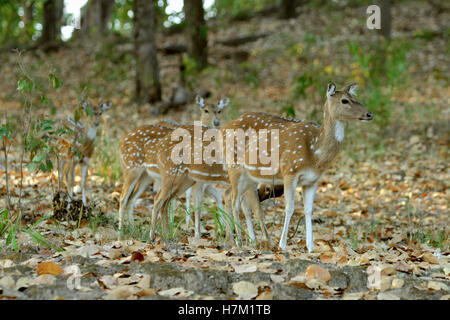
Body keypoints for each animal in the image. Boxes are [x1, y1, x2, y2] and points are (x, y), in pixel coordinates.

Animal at [118, 96, 227, 231]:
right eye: (205, 110)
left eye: (219, 111)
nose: (216, 122)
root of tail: (120, 142)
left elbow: (215, 198)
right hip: (131, 168)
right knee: (123, 198)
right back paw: (121, 231)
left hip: (146, 175)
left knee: (132, 198)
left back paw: (133, 229)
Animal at [225, 82, 372, 252]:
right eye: (345, 100)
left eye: (356, 98)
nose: (369, 114)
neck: (315, 153)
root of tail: (223, 128)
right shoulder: (290, 171)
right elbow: (290, 207)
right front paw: (282, 245)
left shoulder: (312, 180)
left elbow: (308, 209)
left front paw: (310, 247)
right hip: (234, 166)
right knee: (234, 200)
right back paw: (239, 242)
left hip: (249, 176)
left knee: (233, 197)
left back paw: (244, 241)